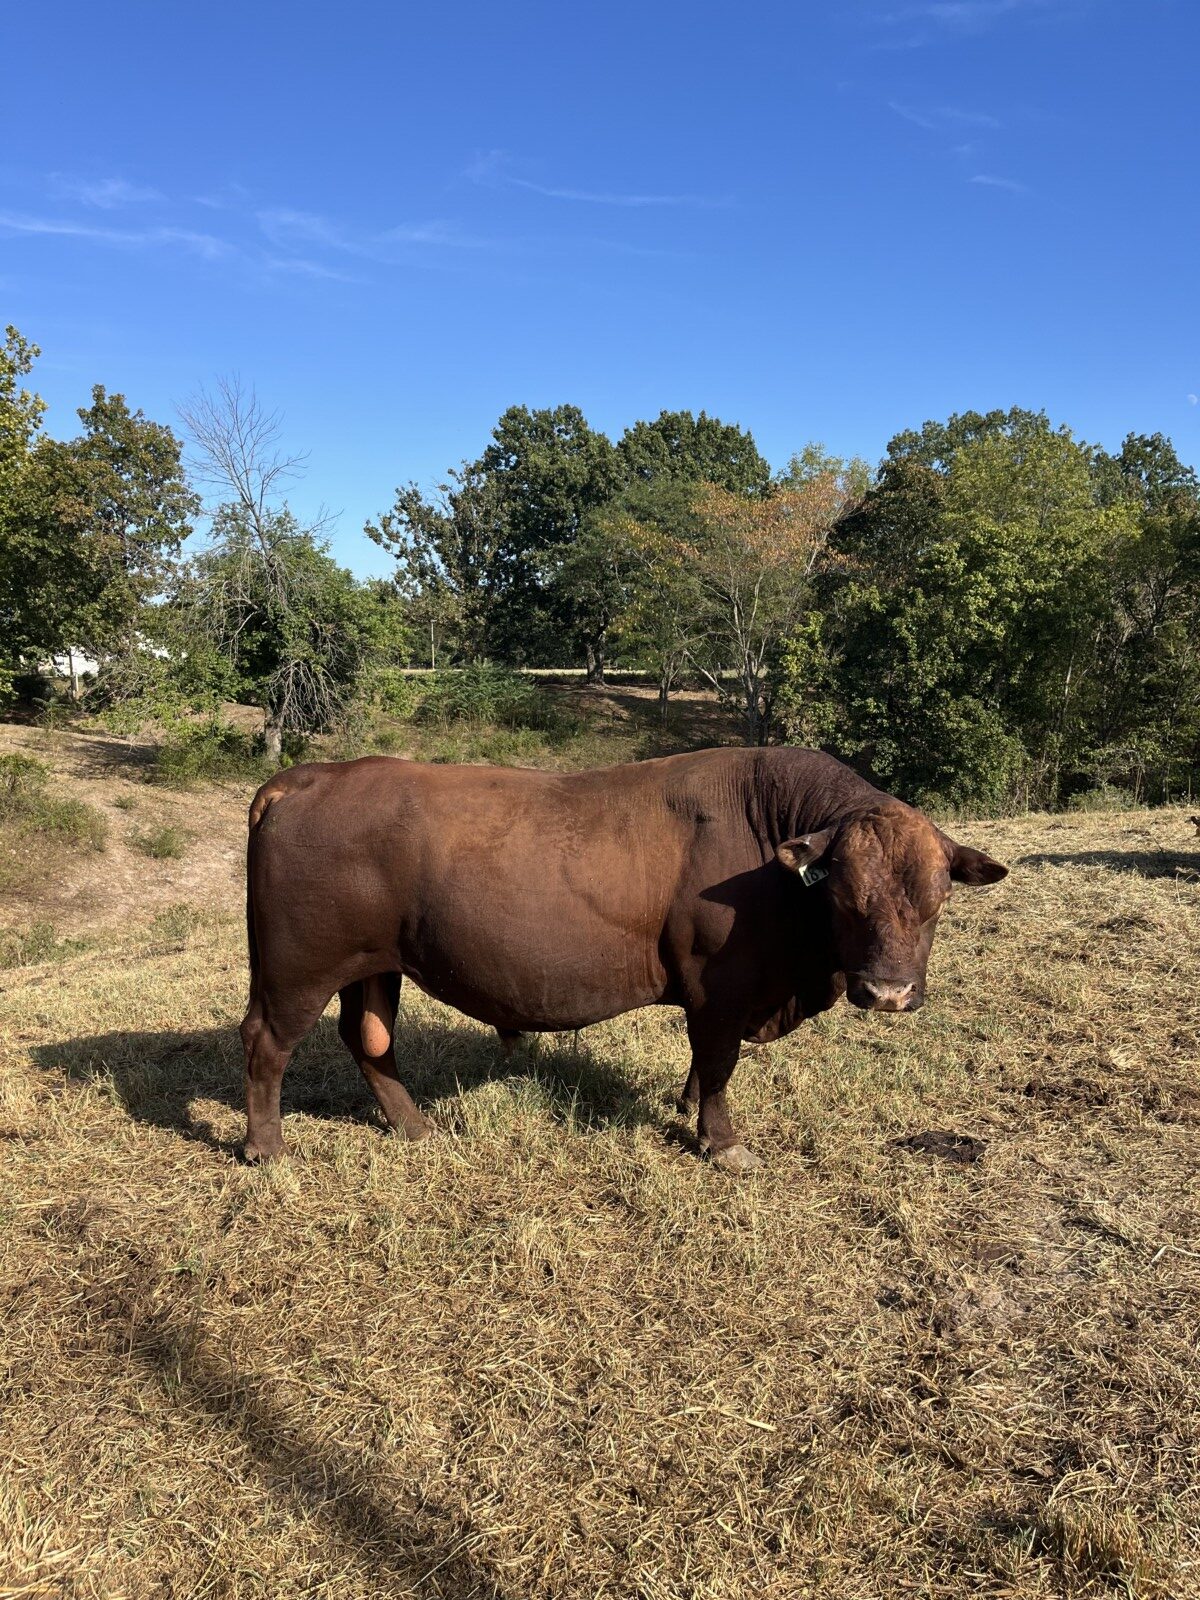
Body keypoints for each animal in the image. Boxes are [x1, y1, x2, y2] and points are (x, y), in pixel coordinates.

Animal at [239, 746, 1007, 1172]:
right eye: (845, 897)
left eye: (938, 897)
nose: (888, 992)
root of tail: (309, 777)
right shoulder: (722, 989)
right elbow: (720, 1064)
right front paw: (721, 1141)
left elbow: (704, 1062)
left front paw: (687, 1103)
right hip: (298, 968)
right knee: (268, 1043)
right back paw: (266, 1147)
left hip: (374, 965)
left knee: (368, 1039)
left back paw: (415, 1126)